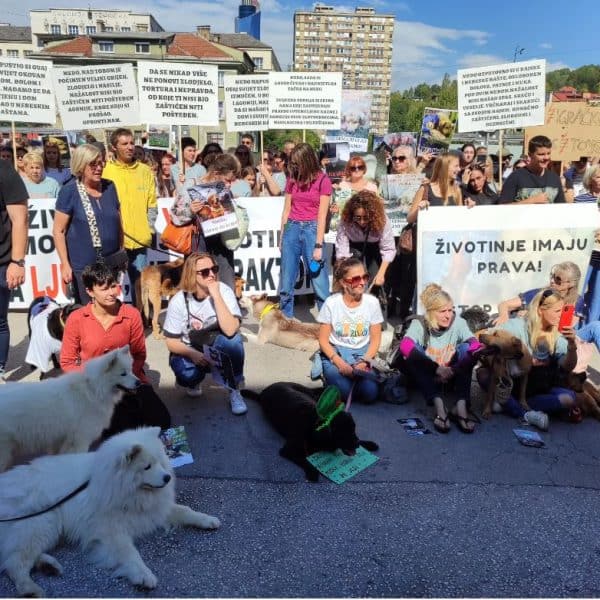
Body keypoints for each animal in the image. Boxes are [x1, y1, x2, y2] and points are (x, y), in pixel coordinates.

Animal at [0, 346, 138, 474]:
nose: (139, 382)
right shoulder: (80, 439)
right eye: (123, 374)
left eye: (131, 370)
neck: (92, 389)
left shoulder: (60, 440)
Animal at [0, 426, 221, 596]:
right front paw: (143, 575)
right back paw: (30, 588)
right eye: (147, 467)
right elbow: (130, 553)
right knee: (14, 562)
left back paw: (48, 566)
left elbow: (185, 510)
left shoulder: (154, 509)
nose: (167, 478)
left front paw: (207, 520)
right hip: (42, 523)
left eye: (160, 461)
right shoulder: (110, 531)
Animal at [241, 384, 378, 482]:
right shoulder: (288, 450)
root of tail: (263, 391)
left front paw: (368, 443)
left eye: (354, 428)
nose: (356, 445)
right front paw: (313, 472)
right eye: (343, 432)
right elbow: (304, 460)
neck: (314, 423)